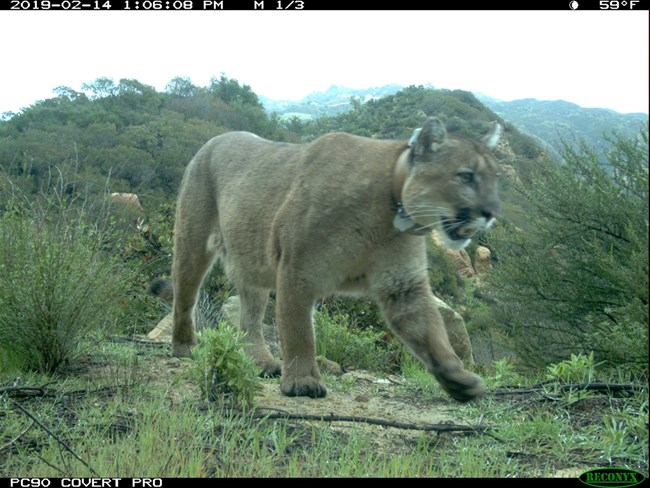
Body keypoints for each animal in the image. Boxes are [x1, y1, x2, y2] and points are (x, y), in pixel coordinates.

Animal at [153, 117, 502, 400]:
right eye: (466, 176)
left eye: (493, 177)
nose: (491, 212)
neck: (389, 211)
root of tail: (212, 141)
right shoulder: (297, 270)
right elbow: (299, 331)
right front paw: (303, 382)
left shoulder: (403, 286)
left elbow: (430, 333)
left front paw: (458, 379)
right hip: (193, 242)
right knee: (184, 295)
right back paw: (184, 346)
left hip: (251, 256)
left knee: (250, 312)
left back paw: (261, 361)